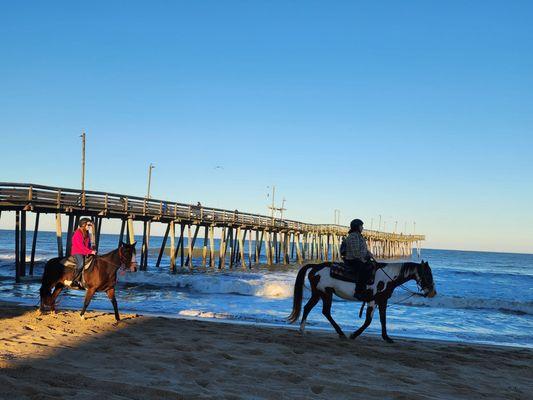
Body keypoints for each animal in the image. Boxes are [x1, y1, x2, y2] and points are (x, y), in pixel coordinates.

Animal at [288, 260, 434, 342]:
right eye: (427, 274)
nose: (432, 292)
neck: (388, 277)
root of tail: (316, 267)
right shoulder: (373, 300)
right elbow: (368, 320)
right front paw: (354, 335)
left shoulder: (382, 300)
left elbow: (383, 319)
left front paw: (386, 337)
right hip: (326, 293)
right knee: (325, 311)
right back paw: (341, 333)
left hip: (318, 294)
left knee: (308, 307)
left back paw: (302, 330)